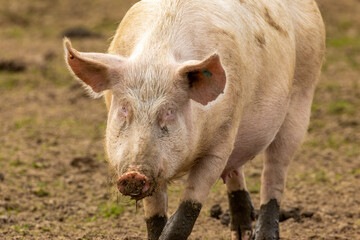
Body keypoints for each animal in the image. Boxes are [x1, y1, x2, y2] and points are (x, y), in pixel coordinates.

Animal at [63, 0, 324, 238]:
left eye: (169, 111)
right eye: (125, 108)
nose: (133, 175)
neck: (157, 56)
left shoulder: (221, 141)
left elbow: (187, 211)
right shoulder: (156, 170)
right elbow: (155, 219)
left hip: (302, 97)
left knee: (274, 172)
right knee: (237, 171)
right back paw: (241, 232)